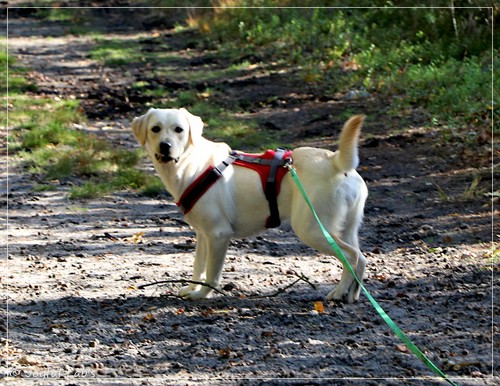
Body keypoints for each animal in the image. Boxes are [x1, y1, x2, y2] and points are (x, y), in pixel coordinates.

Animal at [132, 107, 368, 304]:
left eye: (179, 130)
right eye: (155, 129)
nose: (165, 146)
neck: (191, 164)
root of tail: (335, 161)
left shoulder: (218, 235)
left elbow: (211, 273)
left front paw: (202, 294)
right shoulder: (202, 234)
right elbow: (198, 265)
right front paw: (192, 288)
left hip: (312, 229)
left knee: (350, 256)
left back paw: (339, 293)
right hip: (345, 229)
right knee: (361, 257)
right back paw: (352, 295)